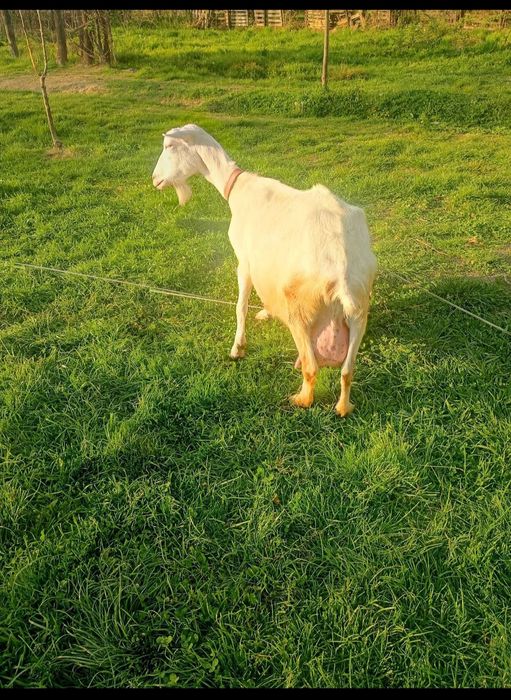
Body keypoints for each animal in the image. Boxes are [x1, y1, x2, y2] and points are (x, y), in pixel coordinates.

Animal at [152, 124, 377, 416]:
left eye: (169, 146)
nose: (155, 179)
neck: (238, 188)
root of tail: (343, 273)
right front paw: (265, 314)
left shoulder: (245, 262)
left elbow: (241, 306)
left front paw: (237, 348)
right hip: (360, 310)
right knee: (347, 371)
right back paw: (343, 407)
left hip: (299, 308)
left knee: (312, 366)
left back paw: (300, 398)